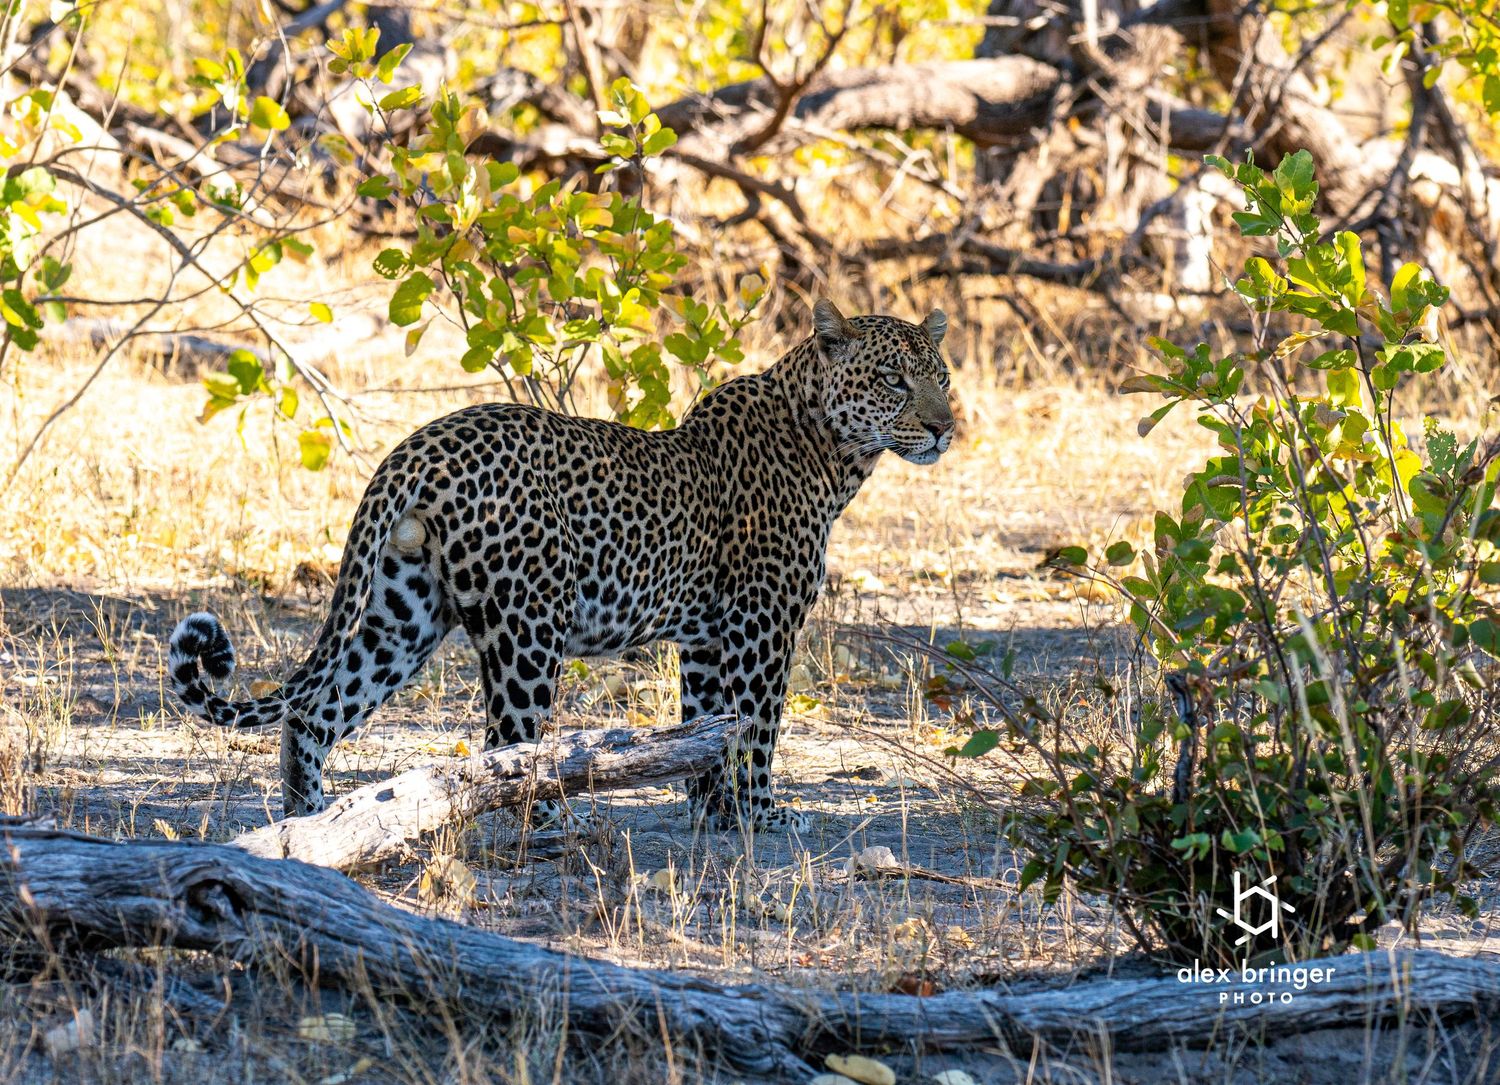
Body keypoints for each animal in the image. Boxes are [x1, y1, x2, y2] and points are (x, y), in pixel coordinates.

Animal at [168, 299, 955, 830]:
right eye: (893, 379)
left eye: (941, 377)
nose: (946, 427)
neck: (833, 453)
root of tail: (419, 444)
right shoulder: (762, 626)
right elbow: (756, 729)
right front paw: (763, 816)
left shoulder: (707, 638)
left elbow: (709, 726)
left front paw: (717, 817)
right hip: (527, 625)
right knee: (506, 744)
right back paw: (552, 824)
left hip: (404, 614)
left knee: (314, 709)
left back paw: (312, 822)